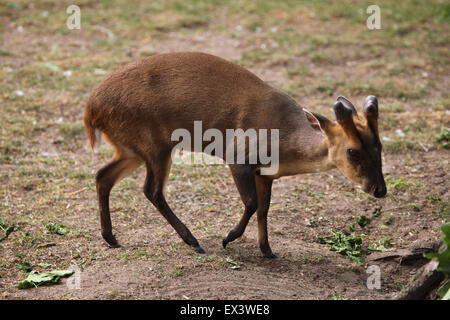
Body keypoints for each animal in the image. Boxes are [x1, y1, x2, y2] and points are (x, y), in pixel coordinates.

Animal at [85, 51, 386, 258]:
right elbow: (252, 203)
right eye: (352, 151)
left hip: (131, 148)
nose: (380, 190)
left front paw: (267, 250)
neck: (285, 138)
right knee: (152, 190)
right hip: (155, 145)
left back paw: (111, 238)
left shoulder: (266, 174)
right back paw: (192, 241)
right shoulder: (238, 157)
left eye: (380, 146)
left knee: (103, 176)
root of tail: (91, 107)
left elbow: (264, 208)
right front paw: (228, 238)